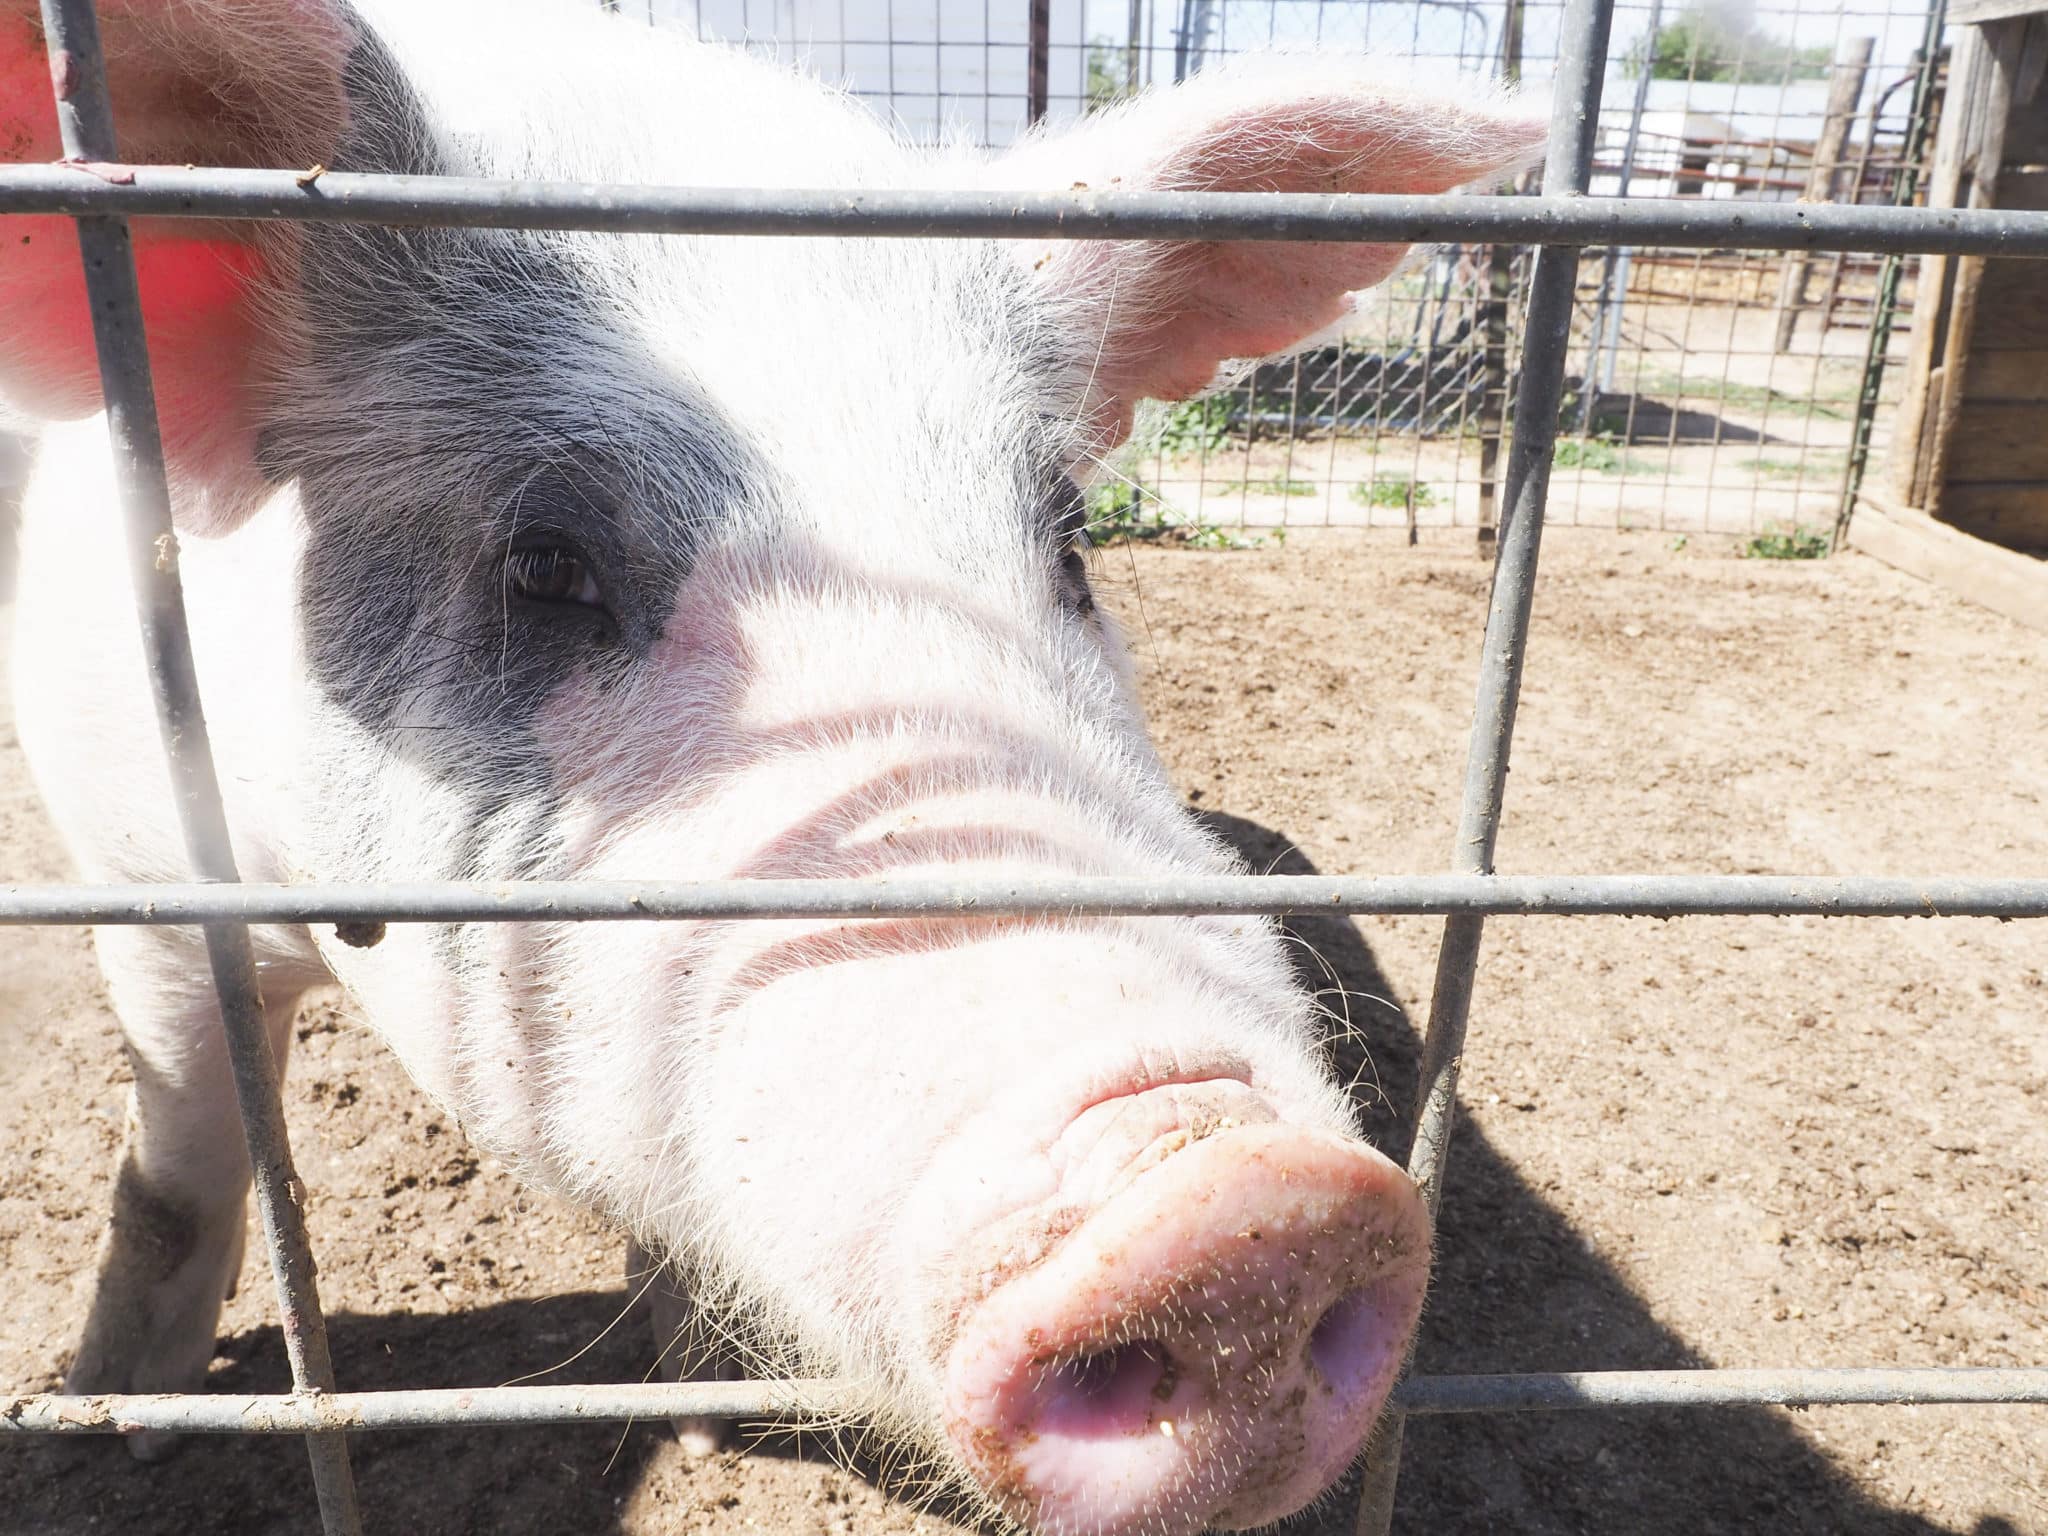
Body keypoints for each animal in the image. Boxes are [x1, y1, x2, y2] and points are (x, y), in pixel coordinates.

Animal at [0, 6, 1540, 1531]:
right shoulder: (136, 872)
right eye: (544, 566)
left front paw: (698, 1405)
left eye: (1066, 541)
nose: (1240, 1203)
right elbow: (180, 1174)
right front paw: (119, 1427)